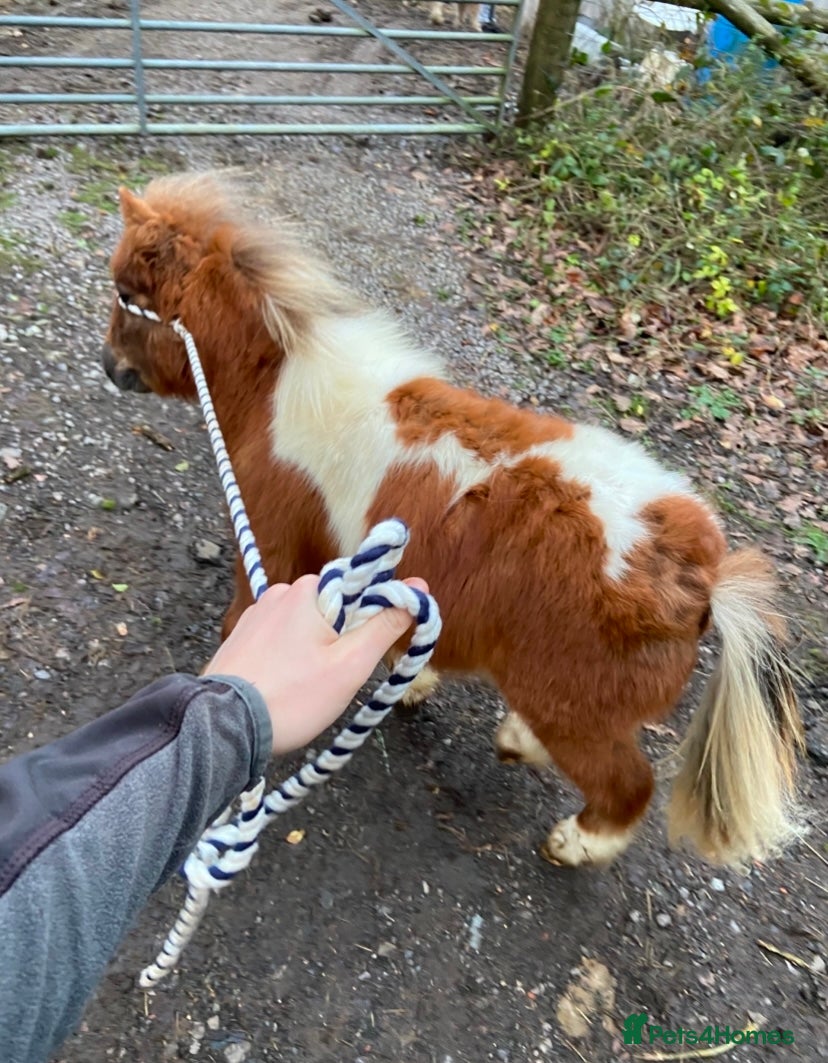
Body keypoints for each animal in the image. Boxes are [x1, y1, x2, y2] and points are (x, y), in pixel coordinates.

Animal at [102, 173, 803, 869]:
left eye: (127, 294)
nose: (110, 368)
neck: (281, 387)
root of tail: (701, 577)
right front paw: (410, 678)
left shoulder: (272, 548)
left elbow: (246, 619)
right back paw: (517, 740)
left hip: (571, 707)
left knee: (627, 784)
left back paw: (574, 841)